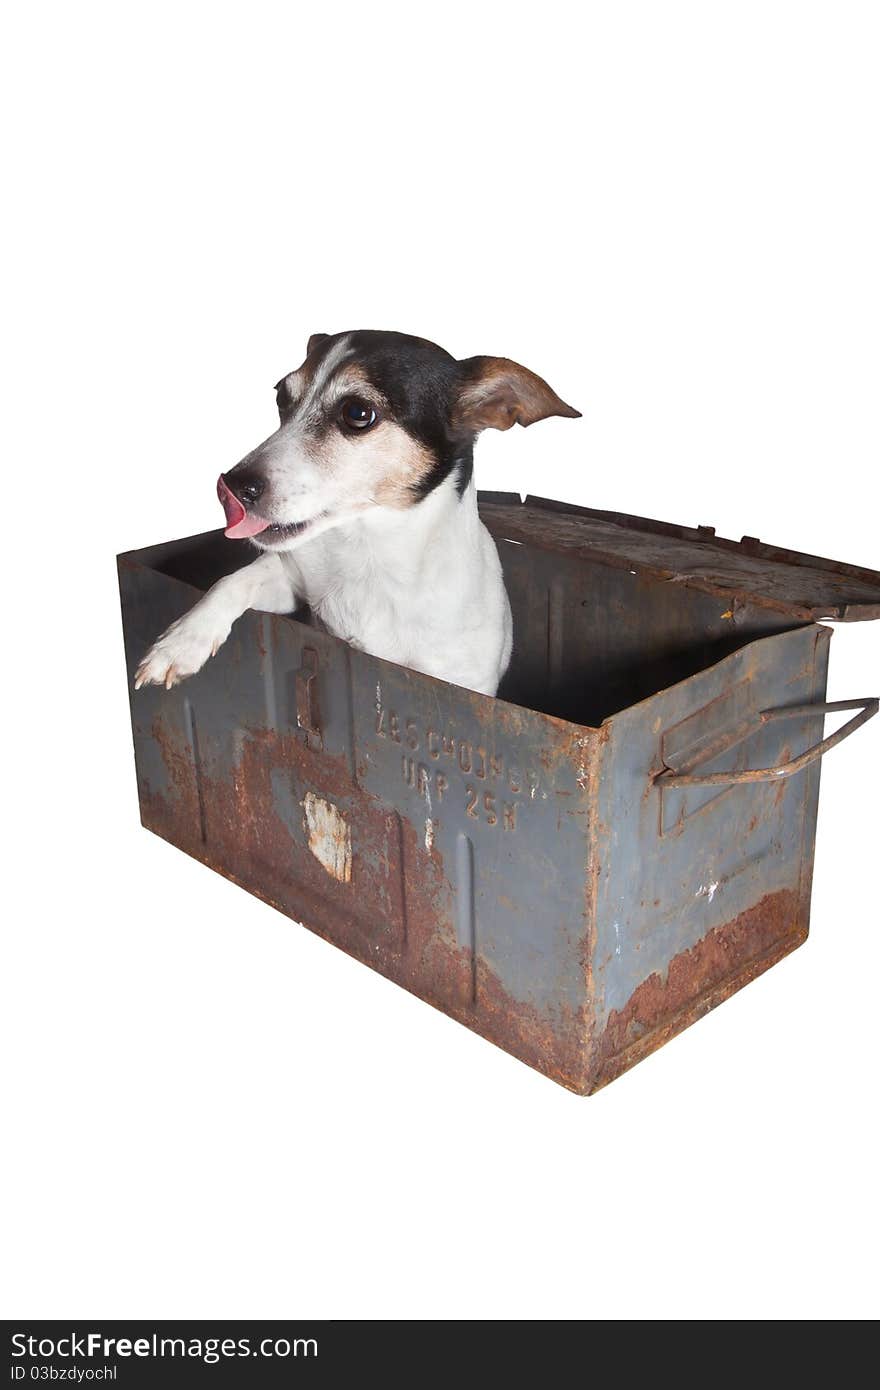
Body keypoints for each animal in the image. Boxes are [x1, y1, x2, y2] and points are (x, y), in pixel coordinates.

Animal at [134, 332, 581, 700]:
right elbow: (232, 581)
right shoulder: (293, 584)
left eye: (357, 413)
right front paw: (180, 643)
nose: (230, 485)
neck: (372, 553)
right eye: (281, 398)